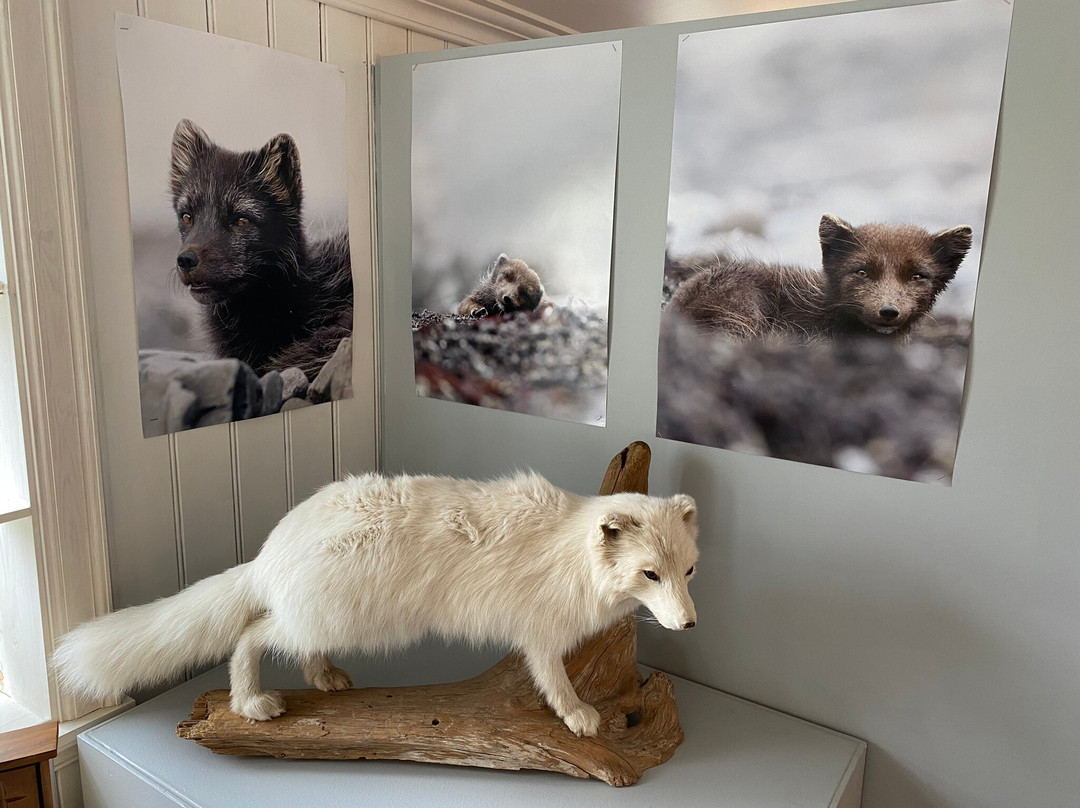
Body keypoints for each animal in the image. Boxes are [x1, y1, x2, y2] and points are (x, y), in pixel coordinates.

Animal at [54, 471, 699, 738]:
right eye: (649, 573)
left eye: (689, 571)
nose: (690, 623)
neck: (570, 552)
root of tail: (271, 550)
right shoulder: (538, 633)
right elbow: (553, 679)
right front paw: (579, 715)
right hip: (329, 615)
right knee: (251, 635)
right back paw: (251, 703)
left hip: (327, 620)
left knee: (293, 644)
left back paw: (325, 678)